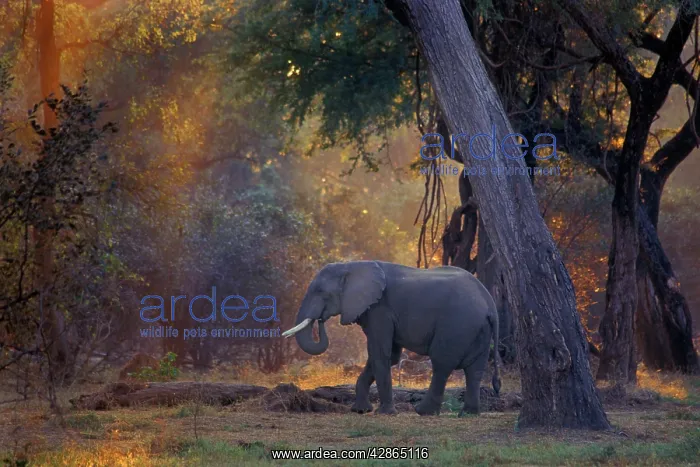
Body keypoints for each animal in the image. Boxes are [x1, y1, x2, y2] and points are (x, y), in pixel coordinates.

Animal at [282, 260, 501, 416]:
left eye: (320, 292)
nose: (320, 319)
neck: (351, 266)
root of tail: (490, 304)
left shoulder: (380, 309)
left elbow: (380, 353)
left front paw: (385, 413)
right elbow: (387, 356)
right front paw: (360, 411)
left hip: (457, 325)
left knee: (441, 363)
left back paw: (423, 412)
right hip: (478, 330)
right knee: (475, 369)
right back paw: (469, 414)